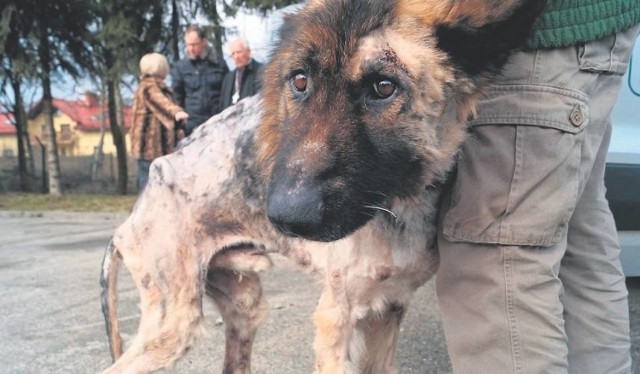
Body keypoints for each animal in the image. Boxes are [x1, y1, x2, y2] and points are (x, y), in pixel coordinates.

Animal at [100, 1, 544, 372]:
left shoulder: (389, 308)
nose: (284, 217)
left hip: (244, 307)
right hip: (174, 324)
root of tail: (131, 216)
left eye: (384, 87)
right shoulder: (336, 317)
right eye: (299, 82)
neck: (398, 206)